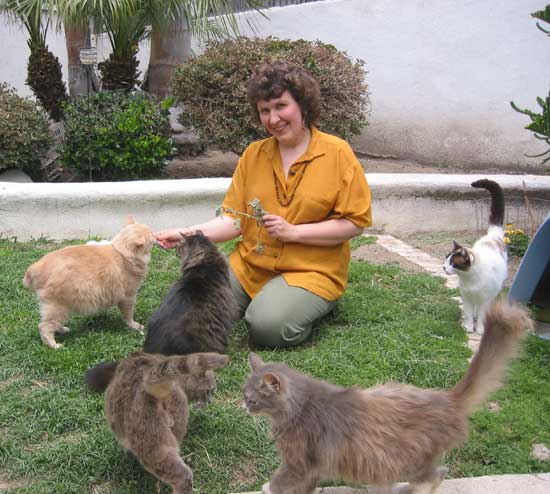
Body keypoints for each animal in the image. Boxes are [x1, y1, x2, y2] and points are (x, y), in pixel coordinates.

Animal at [23, 216, 155, 349]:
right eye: (151, 234)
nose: (155, 234)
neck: (120, 251)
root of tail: (34, 268)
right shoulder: (128, 296)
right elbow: (128, 315)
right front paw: (134, 325)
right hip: (59, 307)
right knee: (44, 326)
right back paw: (54, 345)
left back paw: (62, 330)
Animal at [243, 301, 531, 494]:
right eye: (243, 395)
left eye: (252, 399)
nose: (243, 407)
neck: (298, 408)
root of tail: (448, 398)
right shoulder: (314, 464)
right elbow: (304, 487)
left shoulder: (299, 460)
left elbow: (281, 479)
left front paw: (268, 488)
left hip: (401, 459)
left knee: (435, 475)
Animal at [443, 179, 508, 333]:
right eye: (446, 259)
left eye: (453, 263)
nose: (443, 267)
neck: (469, 278)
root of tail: (493, 235)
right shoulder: (466, 296)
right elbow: (467, 313)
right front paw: (467, 327)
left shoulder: (485, 299)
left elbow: (482, 315)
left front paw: (479, 329)